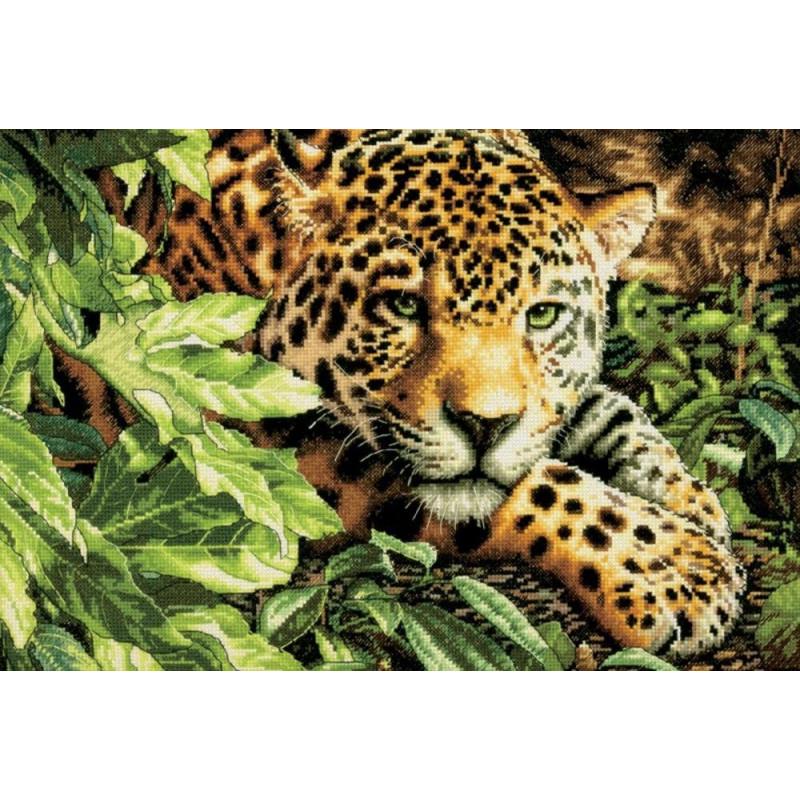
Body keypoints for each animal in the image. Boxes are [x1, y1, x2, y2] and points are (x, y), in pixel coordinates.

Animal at [98, 129, 746, 660]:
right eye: (404, 305)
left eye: (542, 315)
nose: (485, 426)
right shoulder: (251, 443)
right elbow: (543, 484)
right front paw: (677, 568)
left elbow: (609, 410)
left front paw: (691, 502)